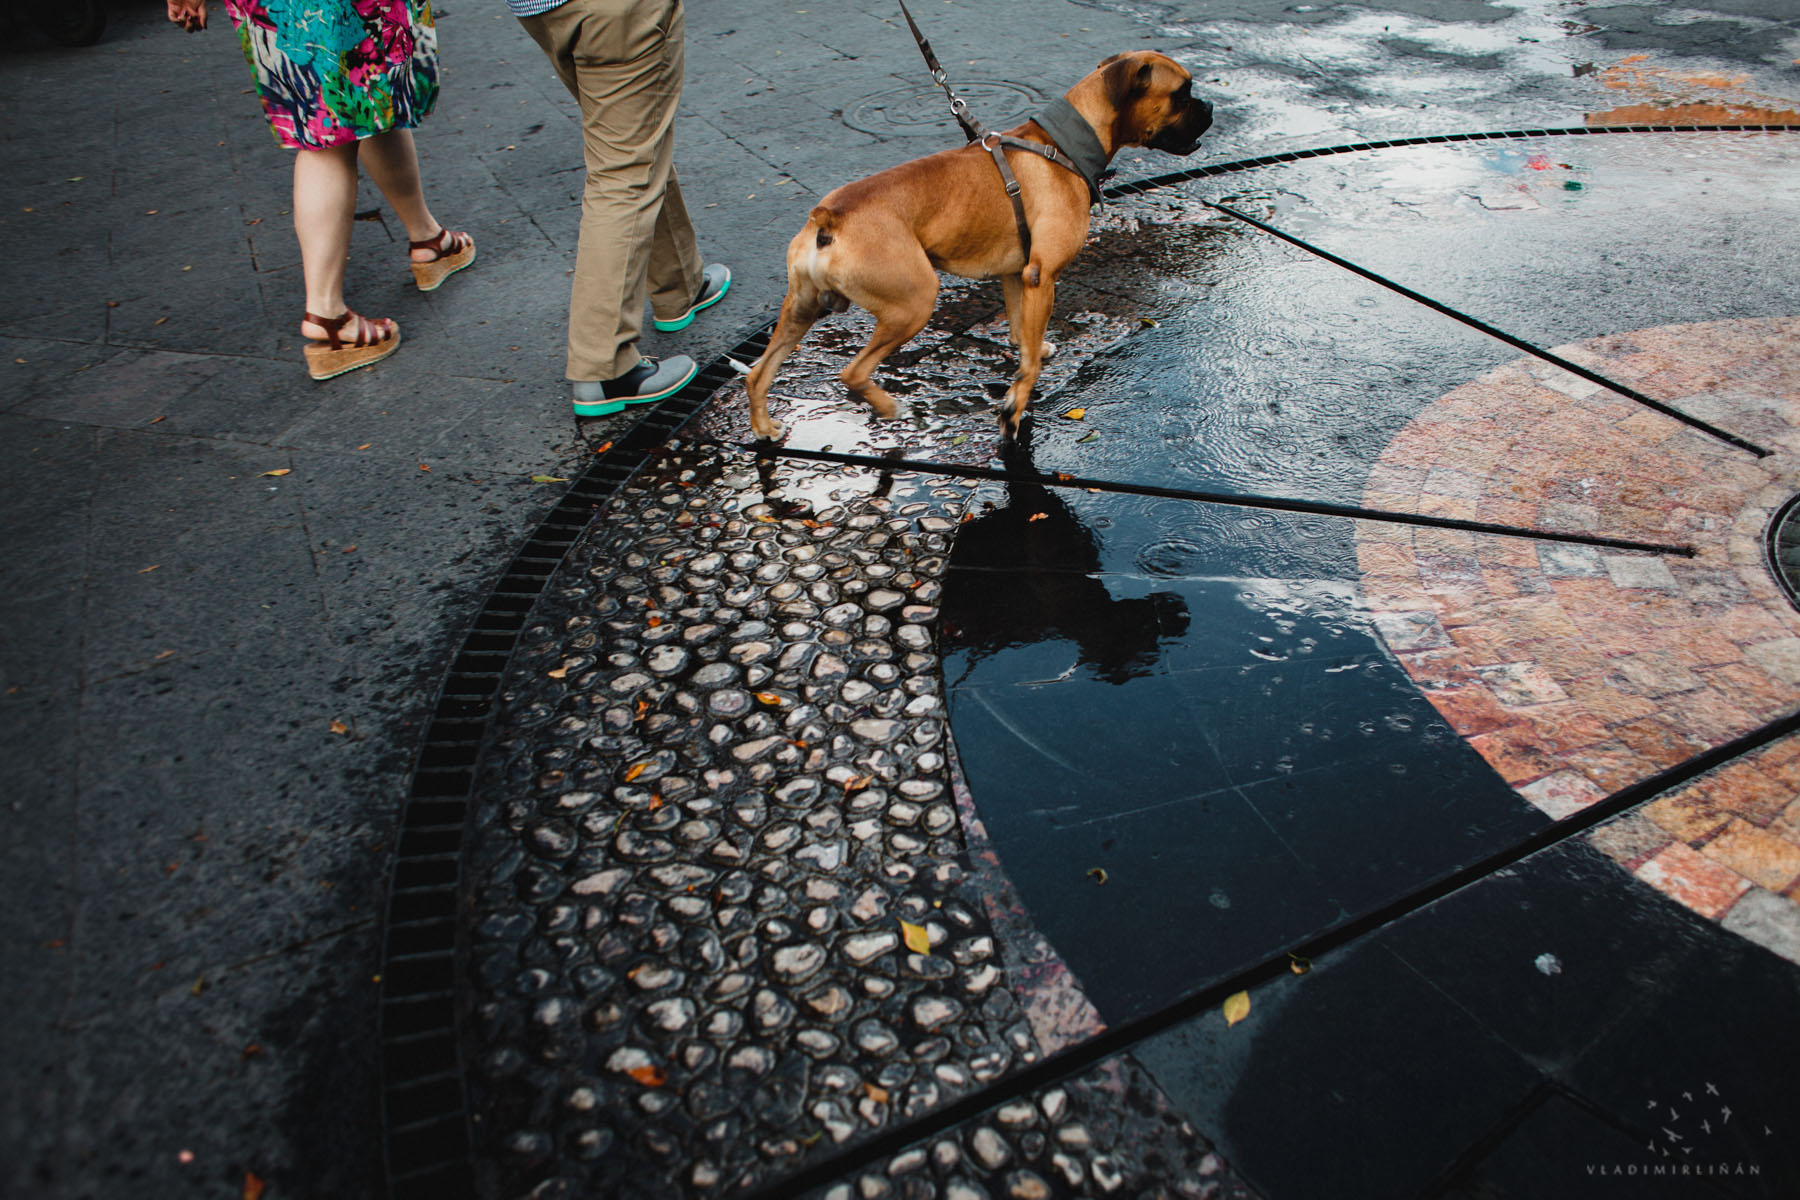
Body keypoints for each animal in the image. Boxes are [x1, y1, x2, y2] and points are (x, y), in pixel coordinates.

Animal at [745, 52, 1209, 440]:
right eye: (1182, 93)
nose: (1209, 107)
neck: (1061, 145)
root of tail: (830, 216)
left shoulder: (1018, 275)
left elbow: (1022, 333)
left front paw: (1032, 351)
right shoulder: (1043, 277)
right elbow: (1028, 365)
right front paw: (1014, 408)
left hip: (802, 308)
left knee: (758, 372)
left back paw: (765, 428)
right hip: (913, 303)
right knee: (853, 373)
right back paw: (891, 408)